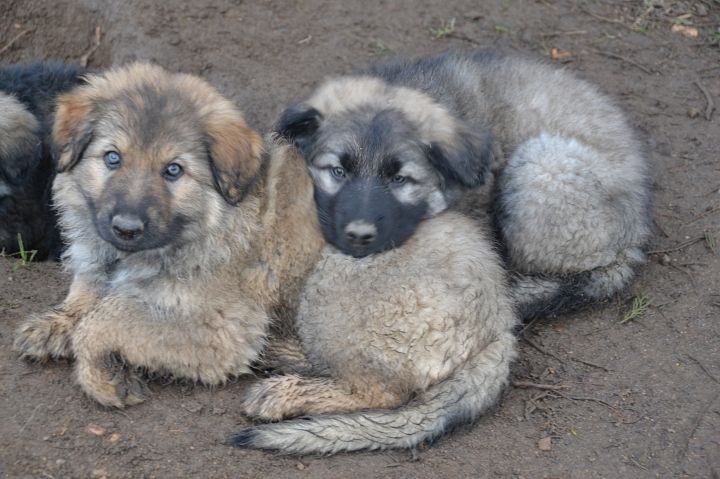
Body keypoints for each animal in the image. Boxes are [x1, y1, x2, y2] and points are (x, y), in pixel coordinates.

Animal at [13, 63, 324, 408]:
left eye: (173, 170)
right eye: (112, 157)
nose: (126, 228)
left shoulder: (221, 328)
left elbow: (107, 316)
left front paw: (103, 377)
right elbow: (89, 291)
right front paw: (58, 321)